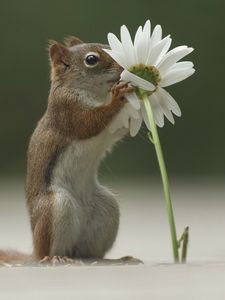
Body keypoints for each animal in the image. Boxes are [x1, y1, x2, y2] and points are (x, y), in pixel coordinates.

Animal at [0, 35, 135, 264]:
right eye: (91, 59)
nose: (125, 67)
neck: (95, 93)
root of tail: (34, 253)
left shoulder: (110, 129)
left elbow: (120, 129)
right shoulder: (68, 112)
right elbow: (90, 123)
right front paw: (118, 97)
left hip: (106, 209)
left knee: (89, 253)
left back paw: (117, 259)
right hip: (55, 207)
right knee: (49, 251)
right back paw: (55, 258)